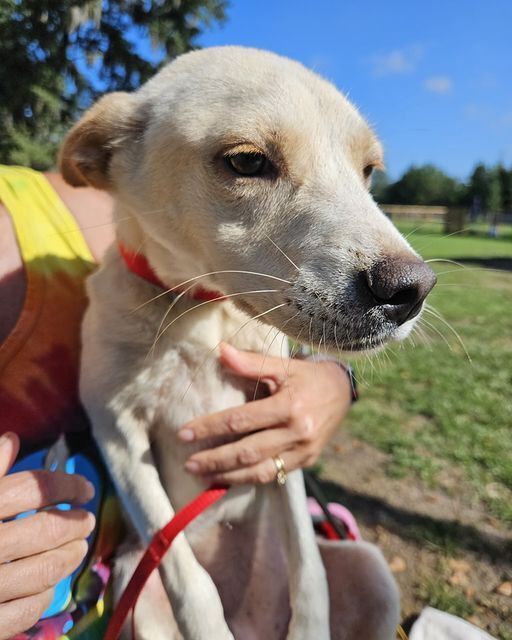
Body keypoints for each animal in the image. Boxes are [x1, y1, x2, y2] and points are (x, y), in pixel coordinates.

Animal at [59, 46, 436, 640]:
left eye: (368, 171)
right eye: (246, 162)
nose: (412, 291)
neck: (202, 313)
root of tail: (253, 620)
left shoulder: (282, 428)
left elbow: (310, 572)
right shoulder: (117, 432)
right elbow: (190, 582)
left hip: (374, 574)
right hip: (135, 593)